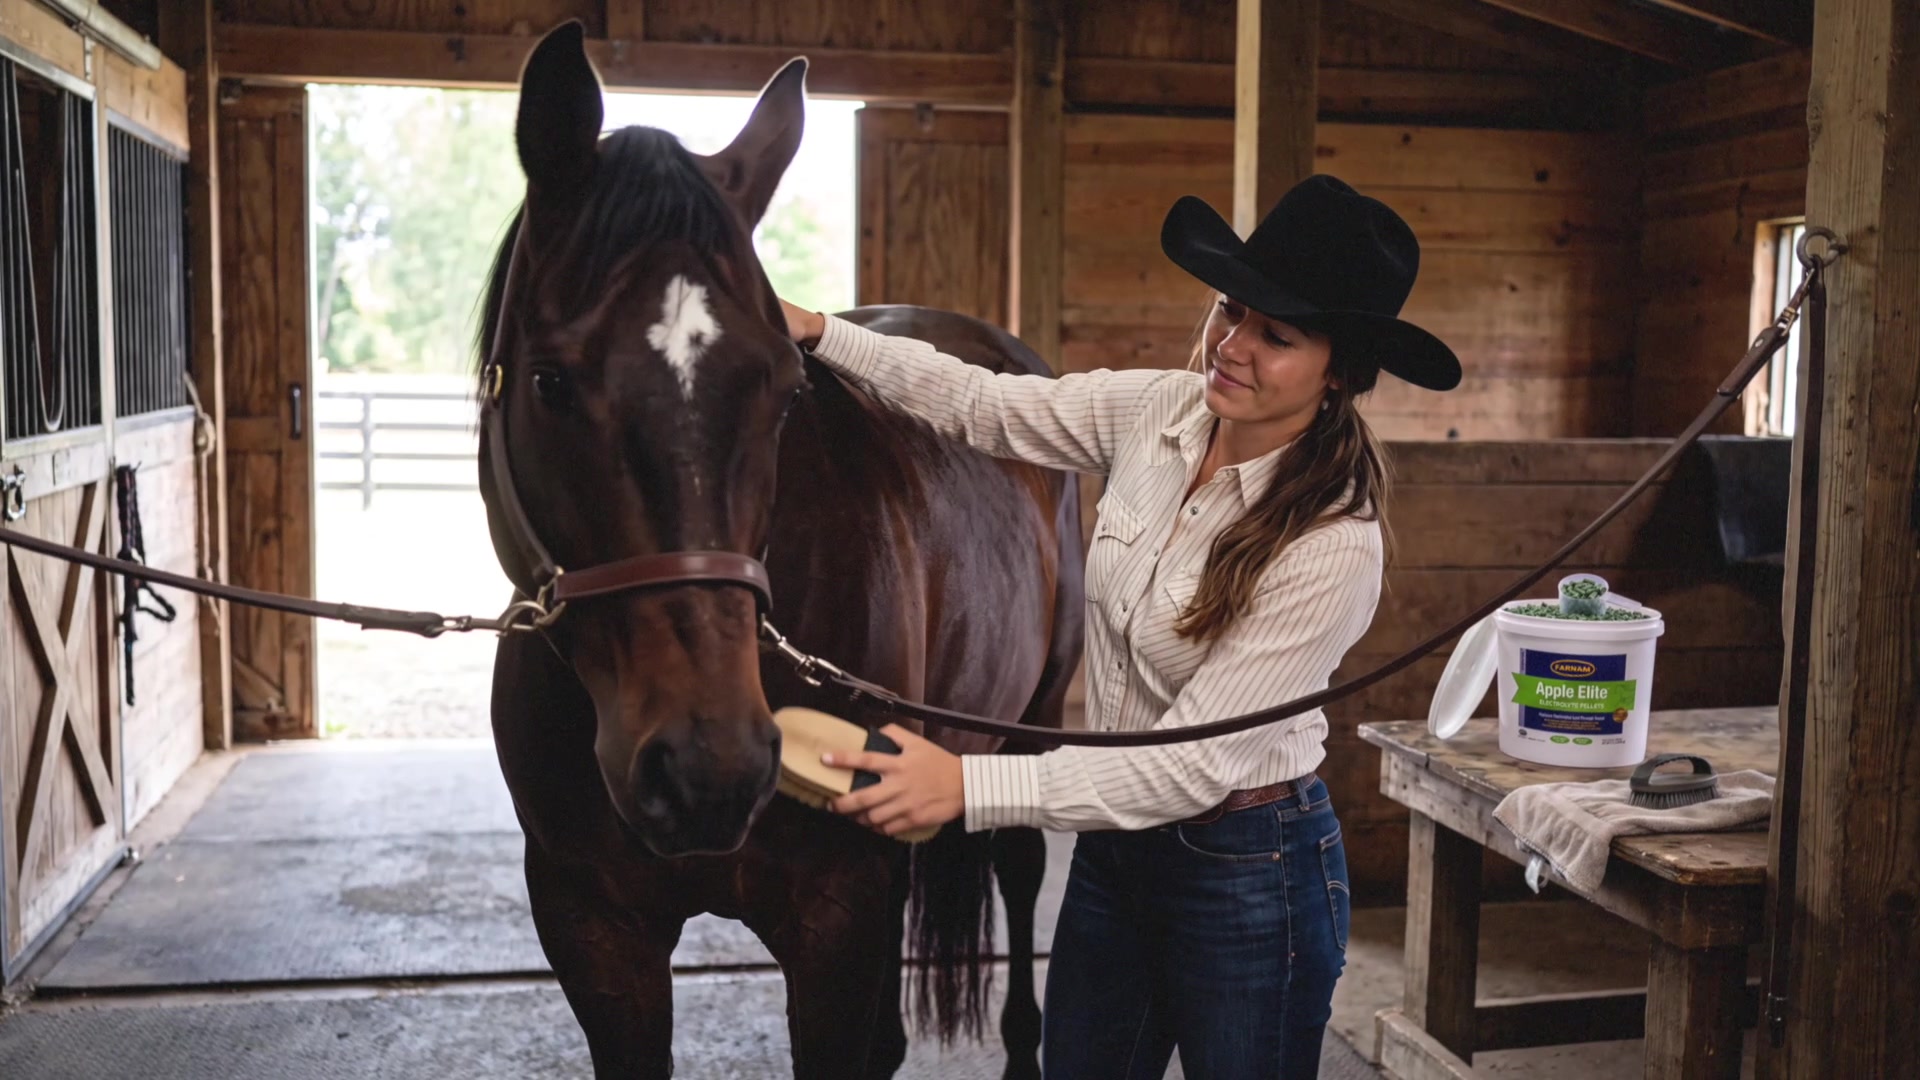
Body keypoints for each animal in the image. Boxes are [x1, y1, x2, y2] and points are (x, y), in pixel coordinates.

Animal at [478, 23, 1084, 1079]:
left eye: (785, 387)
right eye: (550, 380)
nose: (708, 765)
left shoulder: (835, 919)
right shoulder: (595, 932)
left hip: (1031, 728)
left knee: (1018, 868)